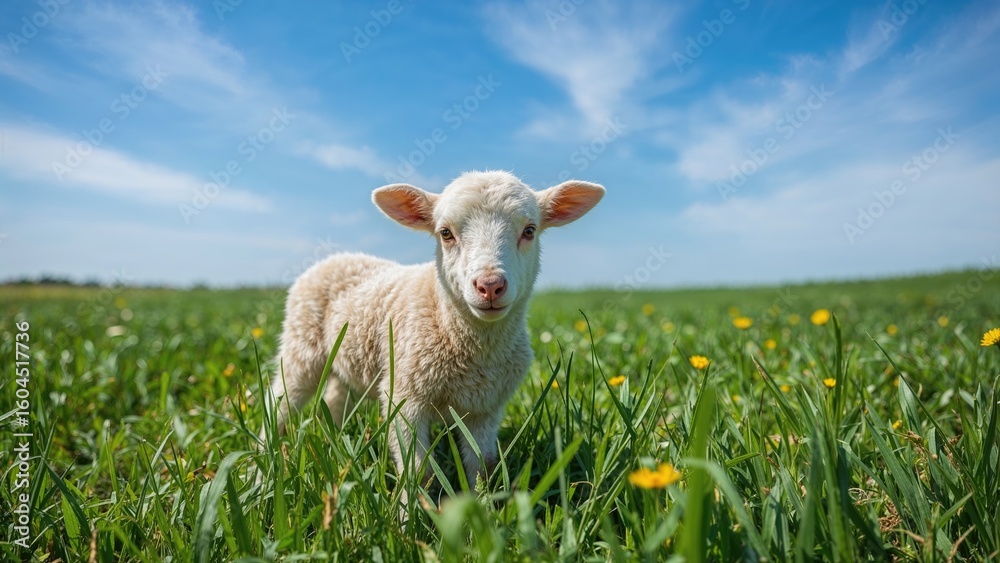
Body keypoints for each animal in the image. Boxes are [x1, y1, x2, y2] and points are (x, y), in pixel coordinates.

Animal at [262, 170, 604, 493]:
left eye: (529, 230)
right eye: (445, 233)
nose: (490, 286)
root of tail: (337, 257)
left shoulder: (486, 408)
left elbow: (482, 467)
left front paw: (483, 505)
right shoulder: (405, 397)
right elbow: (419, 473)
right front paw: (411, 514)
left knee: (335, 397)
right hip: (300, 348)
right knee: (278, 402)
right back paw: (264, 461)